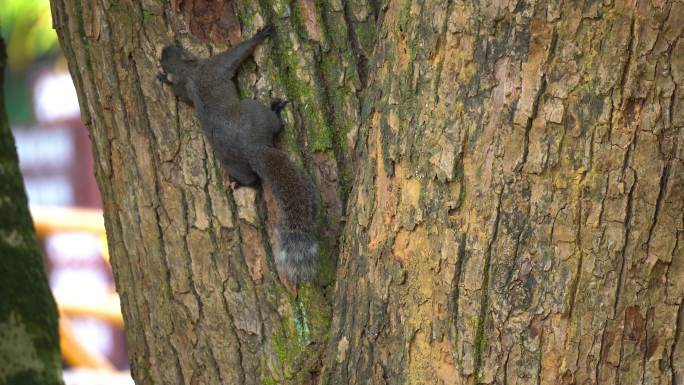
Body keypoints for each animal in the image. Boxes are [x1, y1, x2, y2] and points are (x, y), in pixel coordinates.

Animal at [159, 26, 320, 292]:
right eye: (179, 50)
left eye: (171, 53)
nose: (166, 47)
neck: (189, 72)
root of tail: (253, 149)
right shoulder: (213, 66)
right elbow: (234, 56)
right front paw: (259, 36)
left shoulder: (187, 84)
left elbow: (181, 96)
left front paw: (163, 80)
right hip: (256, 112)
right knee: (274, 125)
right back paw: (276, 110)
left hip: (232, 163)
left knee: (250, 179)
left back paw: (237, 183)